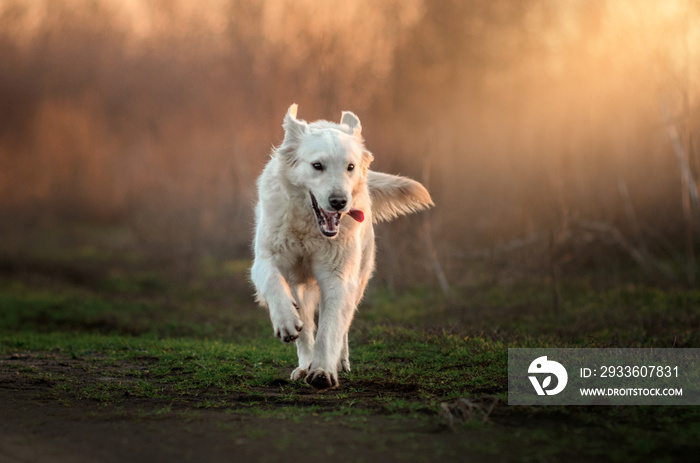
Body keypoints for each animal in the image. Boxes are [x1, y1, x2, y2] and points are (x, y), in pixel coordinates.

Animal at [249, 106, 430, 392]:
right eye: (317, 166)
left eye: (350, 167)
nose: (339, 202)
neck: (309, 228)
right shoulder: (265, 259)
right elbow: (274, 283)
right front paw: (286, 321)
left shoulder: (338, 276)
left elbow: (331, 328)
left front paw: (323, 371)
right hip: (302, 286)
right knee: (306, 327)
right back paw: (304, 363)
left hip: (358, 281)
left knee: (343, 324)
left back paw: (339, 361)